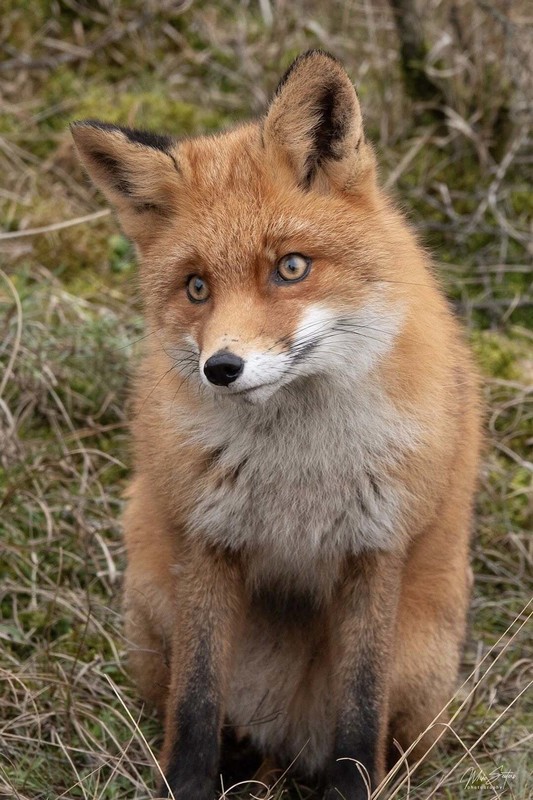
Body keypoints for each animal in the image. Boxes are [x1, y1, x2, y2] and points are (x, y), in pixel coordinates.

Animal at [71, 51, 481, 800]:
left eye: (290, 267)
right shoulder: (208, 542)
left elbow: (360, 714)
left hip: (423, 663)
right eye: (196, 287)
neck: (299, 469)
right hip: (151, 605)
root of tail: (285, 741)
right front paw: (187, 787)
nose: (221, 368)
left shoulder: (375, 549)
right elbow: (195, 706)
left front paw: (353, 791)